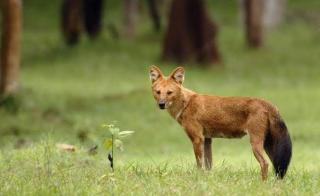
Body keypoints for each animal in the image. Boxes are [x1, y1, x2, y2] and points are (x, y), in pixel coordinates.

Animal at [149, 65, 292, 180]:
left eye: (169, 92)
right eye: (158, 92)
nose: (161, 104)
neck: (186, 104)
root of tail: (267, 103)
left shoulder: (197, 139)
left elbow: (199, 164)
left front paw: (198, 178)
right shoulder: (207, 139)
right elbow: (208, 165)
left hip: (255, 142)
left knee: (265, 163)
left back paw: (263, 183)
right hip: (269, 144)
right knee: (277, 165)